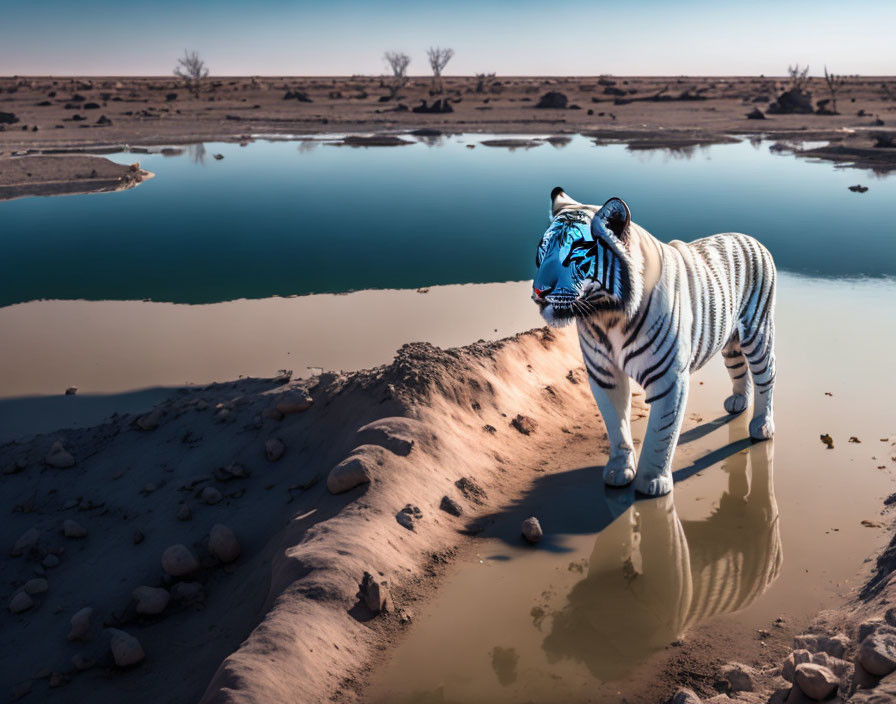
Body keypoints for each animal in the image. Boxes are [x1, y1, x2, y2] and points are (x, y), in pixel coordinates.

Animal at [532, 187, 776, 496]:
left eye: (575, 250)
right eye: (544, 248)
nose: (539, 291)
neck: (606, 317)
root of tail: (752, 238)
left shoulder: (669, 378)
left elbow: (661, 433)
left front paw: (652, 483)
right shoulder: (604, 375)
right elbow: (616, 425)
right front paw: (619, 471)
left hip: (757, 332)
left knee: (766, 375)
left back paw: (762, 427)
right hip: (730, 340)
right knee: (738, 369)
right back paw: (738, 403)